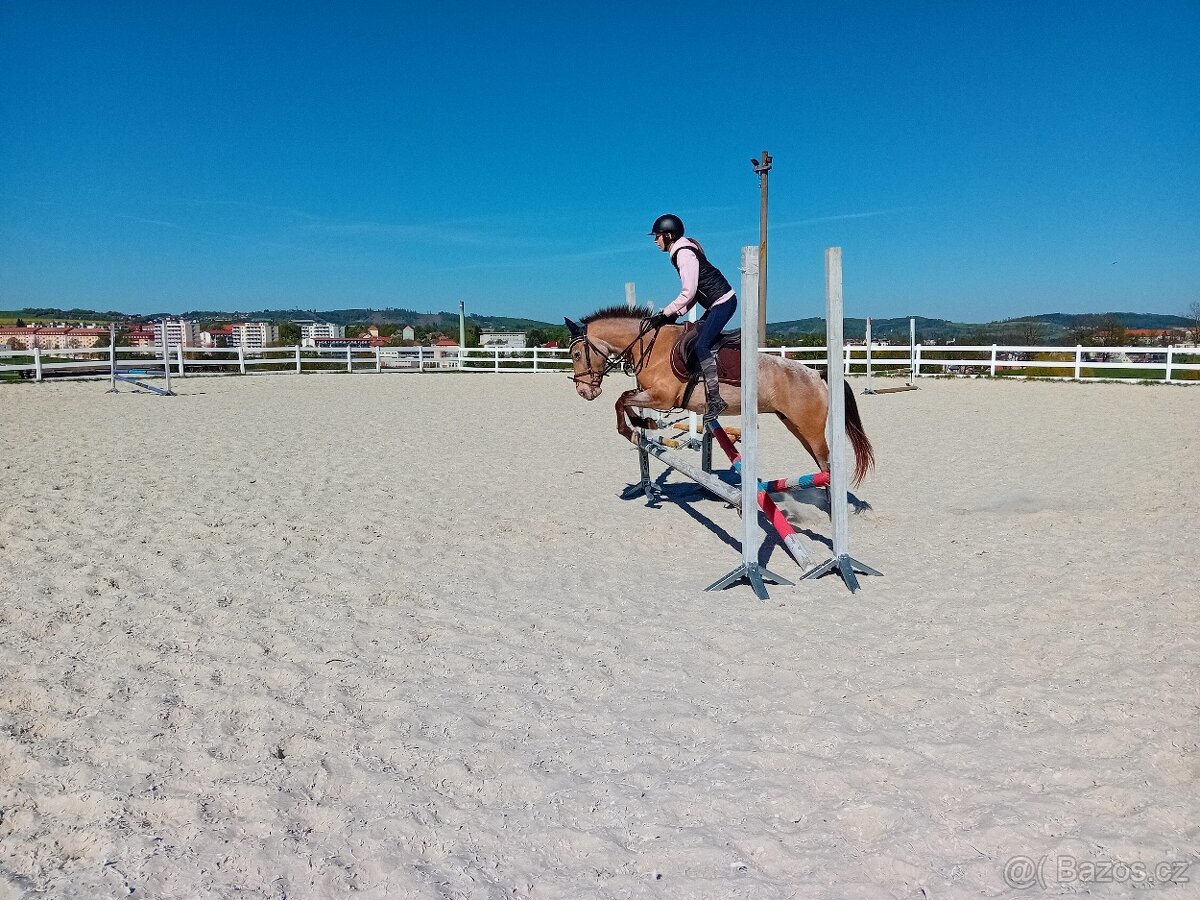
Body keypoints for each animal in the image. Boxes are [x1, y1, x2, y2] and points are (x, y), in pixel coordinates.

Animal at [565, 306, 874, 486]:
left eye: (578, 354)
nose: (584, 391)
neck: (651, 344)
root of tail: (817, 374)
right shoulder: (649, 394)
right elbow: (625, 397)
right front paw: (645, 424)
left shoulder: (663, 398)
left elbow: (621, 401)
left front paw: (634, 429)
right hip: (795, 426)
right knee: (822, 466)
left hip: (810, 429)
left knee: (826, 465)